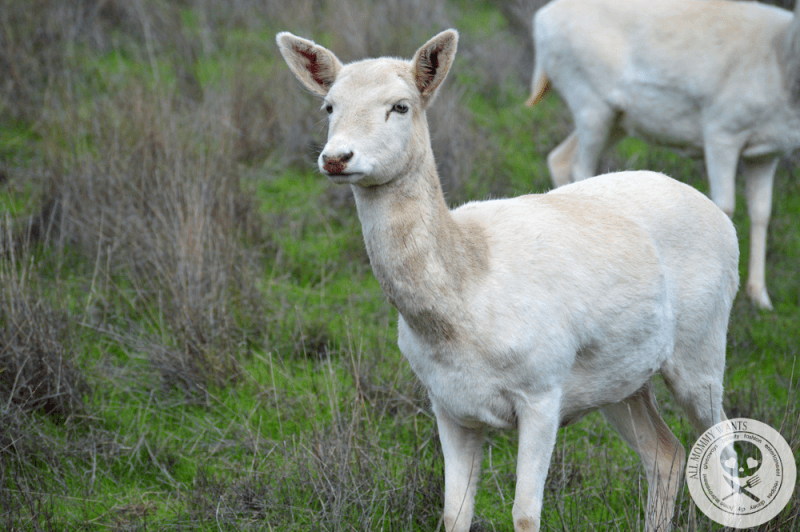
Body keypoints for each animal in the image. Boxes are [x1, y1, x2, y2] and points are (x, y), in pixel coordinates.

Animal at [278, 29, 740, 532]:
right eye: (329, 106)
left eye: (400, 106)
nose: (336, 158)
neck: (463, 301)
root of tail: (721, 218)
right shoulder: (448, 404)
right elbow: (454, 513)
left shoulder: (542, 391)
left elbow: (524, 513)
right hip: (622, 381)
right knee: (666, 454)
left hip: (702, 349)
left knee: (725, 453)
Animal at [524, 0, 800, 312]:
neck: (781, 58)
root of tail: (542, 19)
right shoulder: (721, 132)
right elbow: (726, 206)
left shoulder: (766, 154)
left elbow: (762, 212)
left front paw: (761, 298)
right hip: (591, 103)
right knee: (580, 167)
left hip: (617, 121)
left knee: (559, 157)